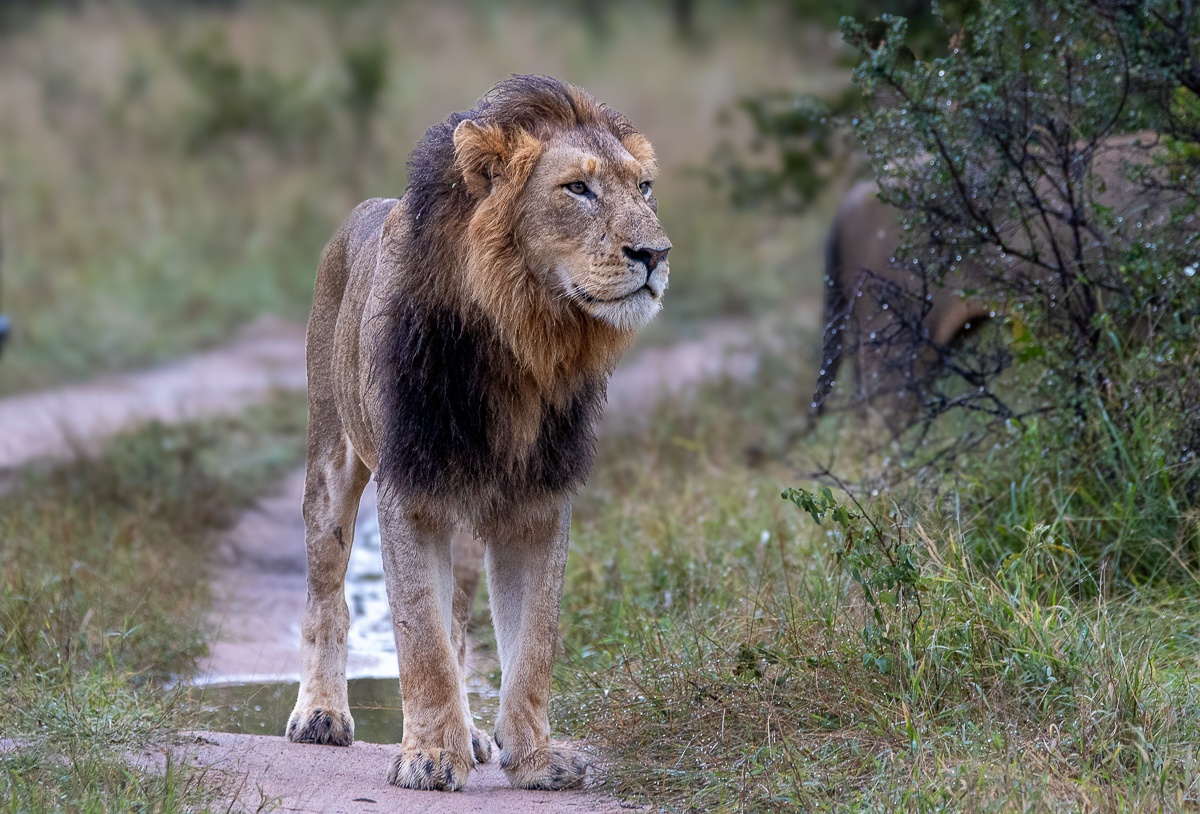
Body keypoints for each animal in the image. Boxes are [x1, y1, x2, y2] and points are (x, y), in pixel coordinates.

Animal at [283, 76, 669, 793]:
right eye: (577, 188)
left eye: (645, 188)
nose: (655, 255)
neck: (523, 340)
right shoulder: (411, 493)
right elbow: (422, 640)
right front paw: (430, 757)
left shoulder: (540, 501)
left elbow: (532, 644)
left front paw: (536, 756)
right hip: (330, 462)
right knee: (327, 594)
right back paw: (321, 715)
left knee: (462, 620)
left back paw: (471, 733)